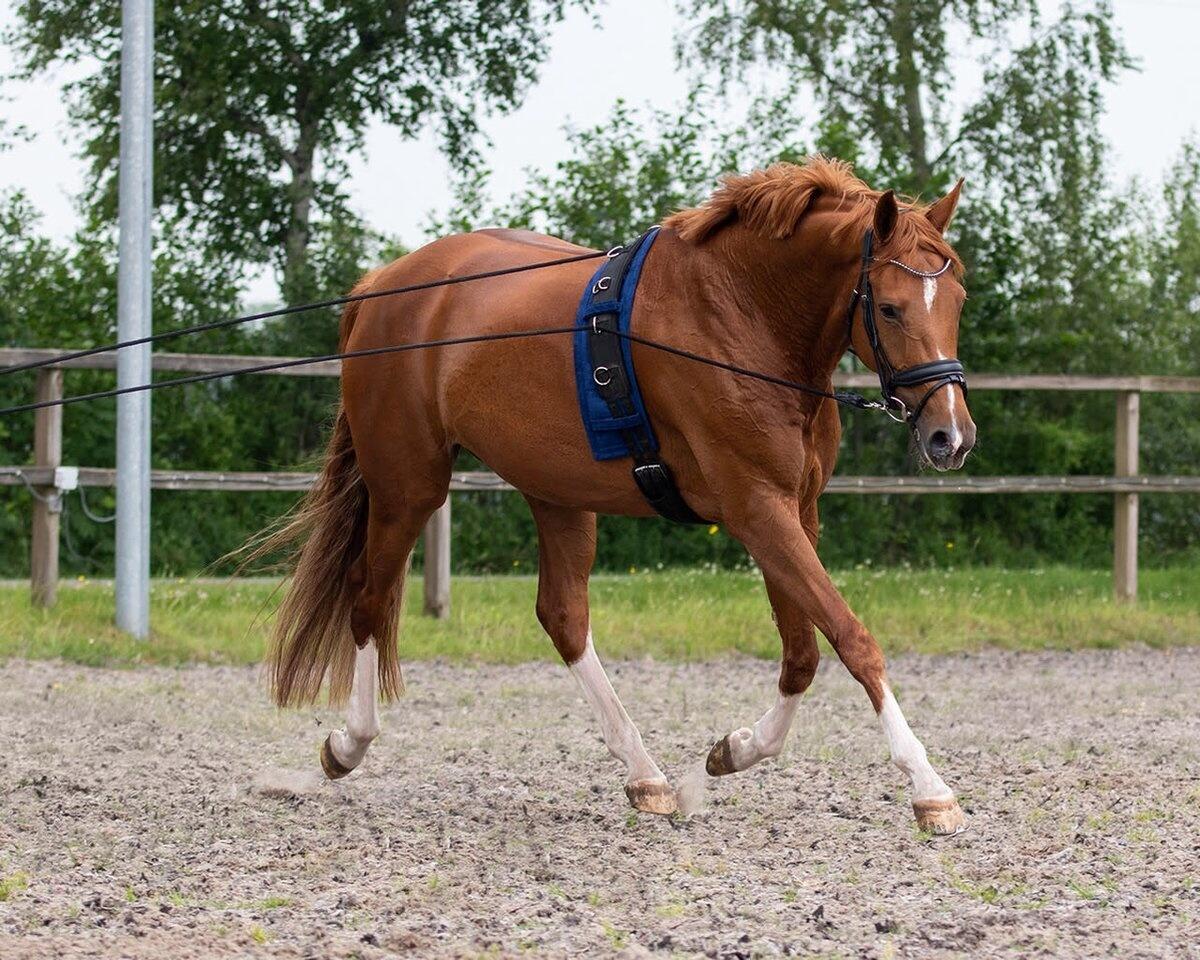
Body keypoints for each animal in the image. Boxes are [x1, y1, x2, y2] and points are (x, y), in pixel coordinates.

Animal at [251, 157, 976, 835]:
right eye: (890, 306)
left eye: (958, 299)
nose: (951, 436)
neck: (740, 313)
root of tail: (381, 288)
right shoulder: (757, 510)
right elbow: (851, 638)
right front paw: (929, 789)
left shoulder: (793, 511)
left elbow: (802, 653)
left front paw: (727, 755)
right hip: (409, 486)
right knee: (370, 596)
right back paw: (347, 746)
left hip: (555, 491)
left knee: (563, 618)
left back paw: (646, 777)